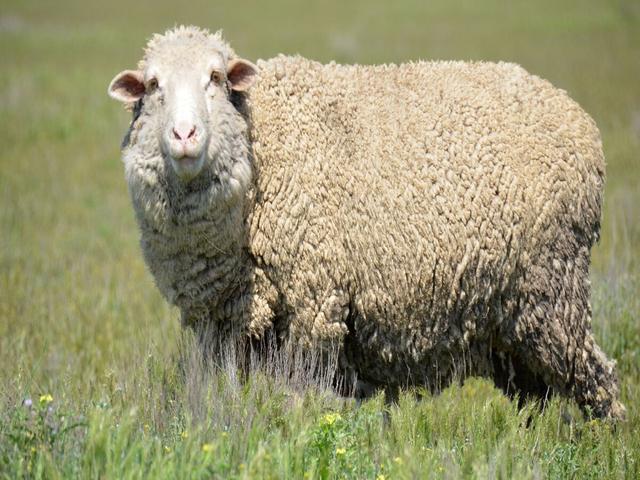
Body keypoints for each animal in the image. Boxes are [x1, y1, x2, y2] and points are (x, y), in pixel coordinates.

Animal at [107, 25, 625, 419]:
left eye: (215, 77)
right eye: (152, 85)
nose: (185, 134)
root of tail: (575, 115)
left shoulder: (314, 300)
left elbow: (295, 397)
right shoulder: (221, 324)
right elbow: (228, 396)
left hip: (553, 290)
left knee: (599, 380)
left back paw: (605, 444)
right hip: (510, 321)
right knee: (536, 396)